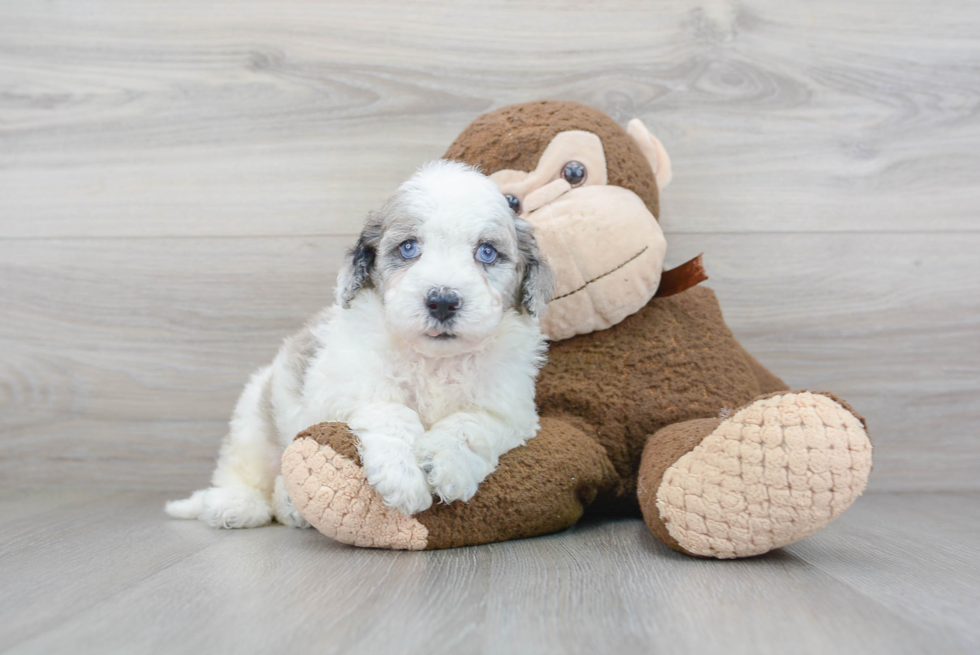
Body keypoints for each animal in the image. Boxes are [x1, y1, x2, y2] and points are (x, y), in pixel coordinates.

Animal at [165, 161, 556, 532]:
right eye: (409, 248)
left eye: (487, 252)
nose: (443, 301)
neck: (434, 362)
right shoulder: (345, 384)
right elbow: (391, 410)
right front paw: (403, 474)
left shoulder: (510, 409)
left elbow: (472, 424)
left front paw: (449, 463)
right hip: (254, 417)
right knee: (242, 469)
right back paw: (236, 505)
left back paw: (291, 507)